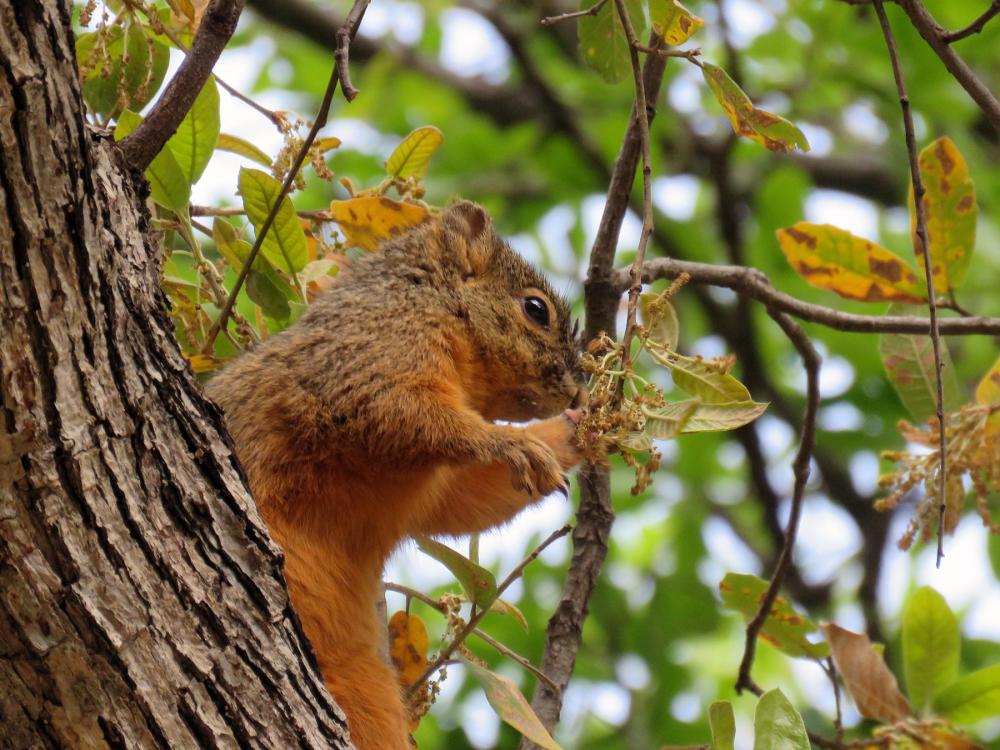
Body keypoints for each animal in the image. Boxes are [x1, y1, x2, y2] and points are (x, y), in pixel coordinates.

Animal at [210, 201, 584, 750]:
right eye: (536, 309)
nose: (579, 391)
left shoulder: (434, 485)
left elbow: (463, 501)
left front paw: (584, 430)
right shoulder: (375, 348)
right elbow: (394, 407)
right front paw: (516, 444)